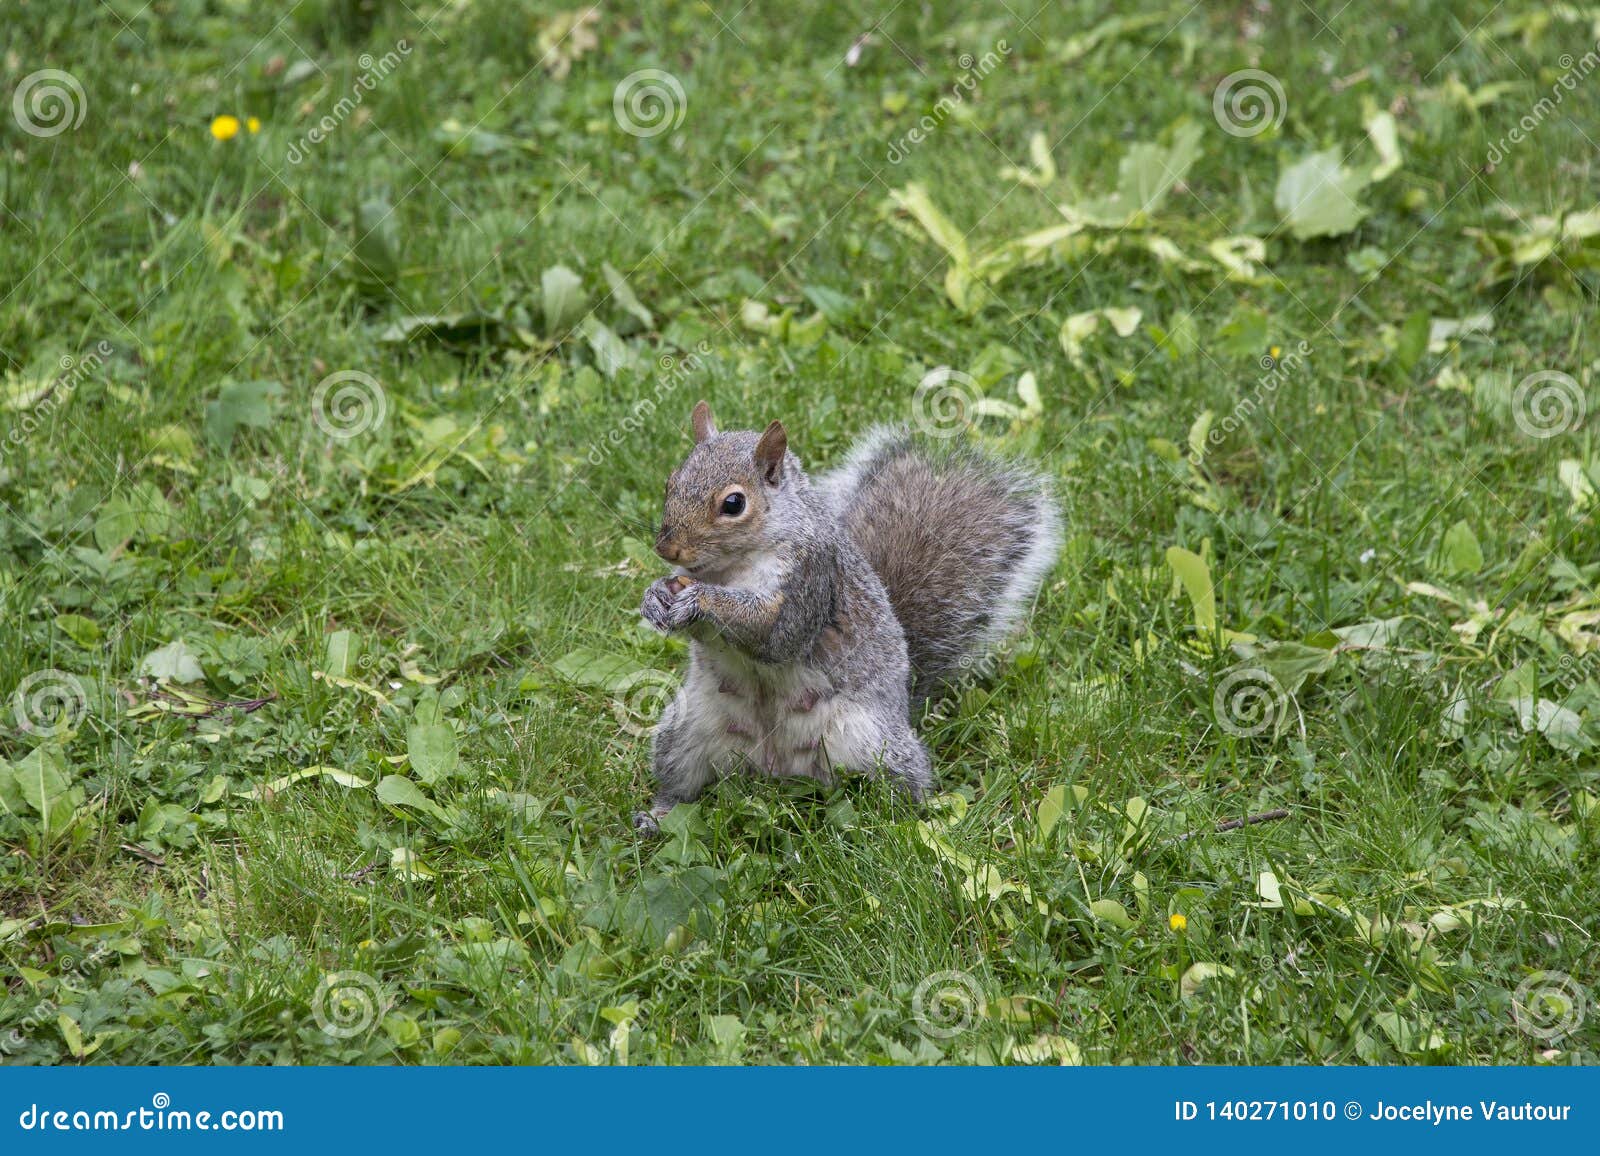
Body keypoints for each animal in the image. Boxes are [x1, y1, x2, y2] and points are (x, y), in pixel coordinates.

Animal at [634, 400, 1061, 833]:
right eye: (671, 482)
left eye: (733, 504)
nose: (667, 548)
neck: (730, 568)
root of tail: (774, 769)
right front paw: (655, 596)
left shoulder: (811, 580)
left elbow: (775, 635)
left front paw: (701, 599)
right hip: (685, 731)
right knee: (679, 785)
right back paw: (657, 816)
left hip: (872, 741)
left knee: (904, 783)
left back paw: (897, 822)